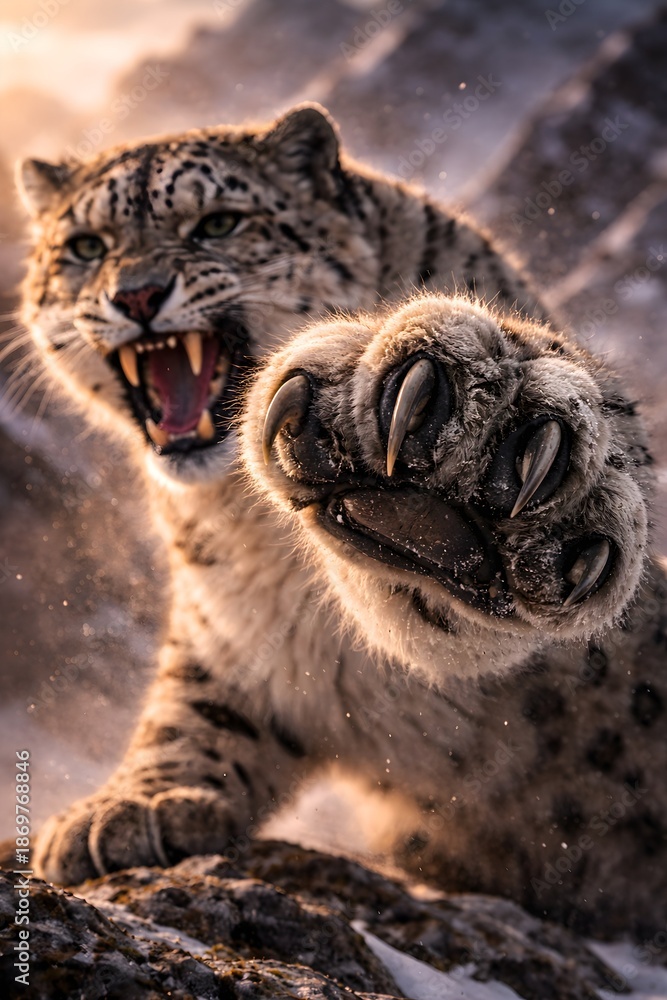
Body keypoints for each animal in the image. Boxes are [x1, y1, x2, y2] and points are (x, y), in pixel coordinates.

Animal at [15, 103, 667, 939]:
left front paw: (485, 439)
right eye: (86, 247)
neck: (245, 525)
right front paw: (129, 806)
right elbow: (190, 704)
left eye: (218, 223)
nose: (136, 295)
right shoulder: (228, 633)